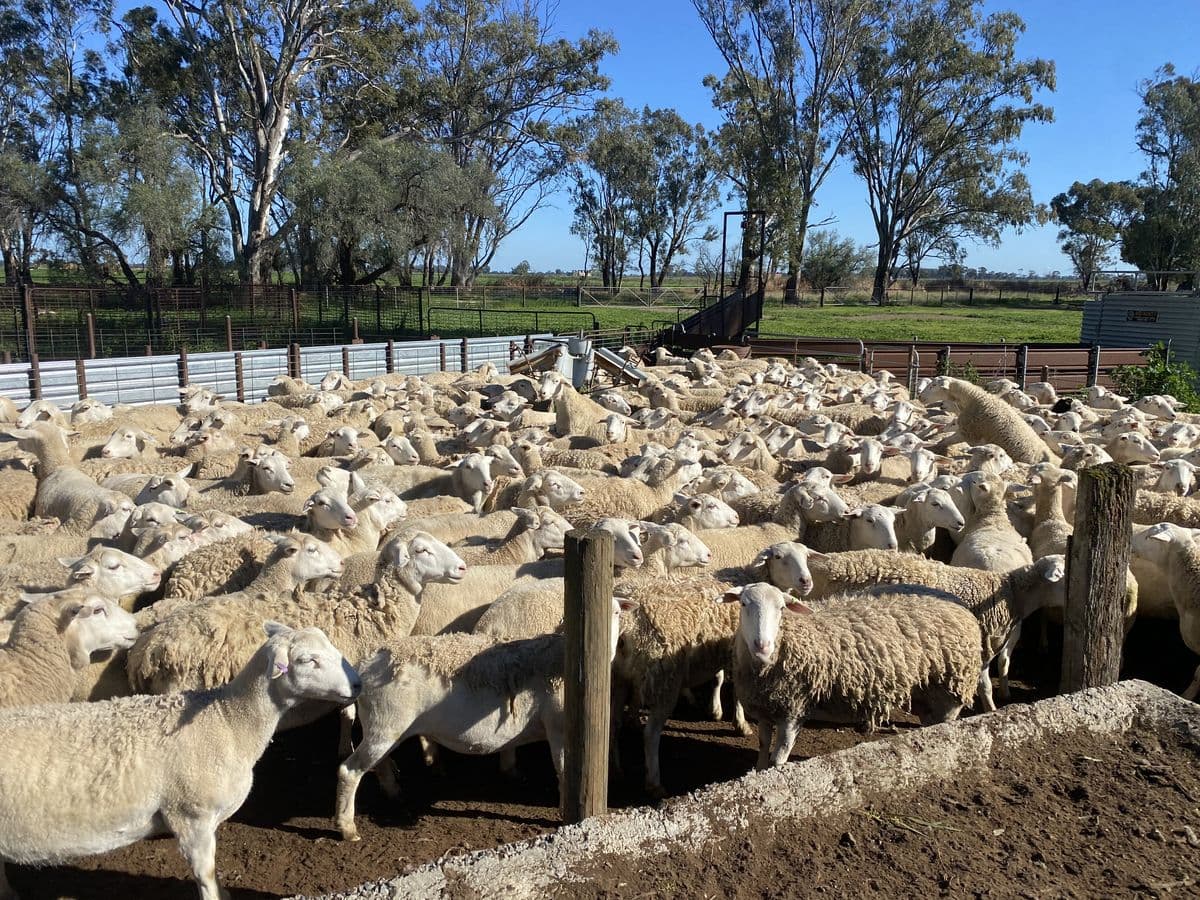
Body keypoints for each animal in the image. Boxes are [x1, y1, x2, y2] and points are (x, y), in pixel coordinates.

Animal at [334, 597, 626, 839]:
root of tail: (365, 665)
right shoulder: (560, 727)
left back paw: (394, 793)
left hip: (383, 727)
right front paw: (566, 815)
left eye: (617, 611)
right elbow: (565, 771)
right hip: (386, 724)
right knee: (349, 770)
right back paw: (347, 828)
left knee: (377, 763)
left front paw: (512, 771)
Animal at [724, 582, 981, 769]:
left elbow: (778, 757)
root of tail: (959, 604)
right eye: (744, 604)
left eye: (781, 608)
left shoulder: (793, 710)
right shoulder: (766, 707)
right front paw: (757, 772)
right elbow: (763, 745)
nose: (762, 646)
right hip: (927, 693)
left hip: (950, 691)